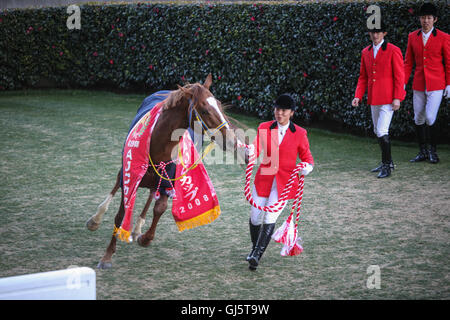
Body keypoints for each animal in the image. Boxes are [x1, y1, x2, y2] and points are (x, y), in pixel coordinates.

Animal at [86, 75, 244, 270]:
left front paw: (145, 238)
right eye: (205, 110)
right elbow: (120, 214)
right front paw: (107, 256)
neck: (157, 146)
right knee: (117, 184)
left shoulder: (169, 181)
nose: (232, 140)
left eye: (220, 105)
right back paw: (96, 219)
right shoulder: (130, 176)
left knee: (152, 193)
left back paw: (137, 229)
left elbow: (159, 208)